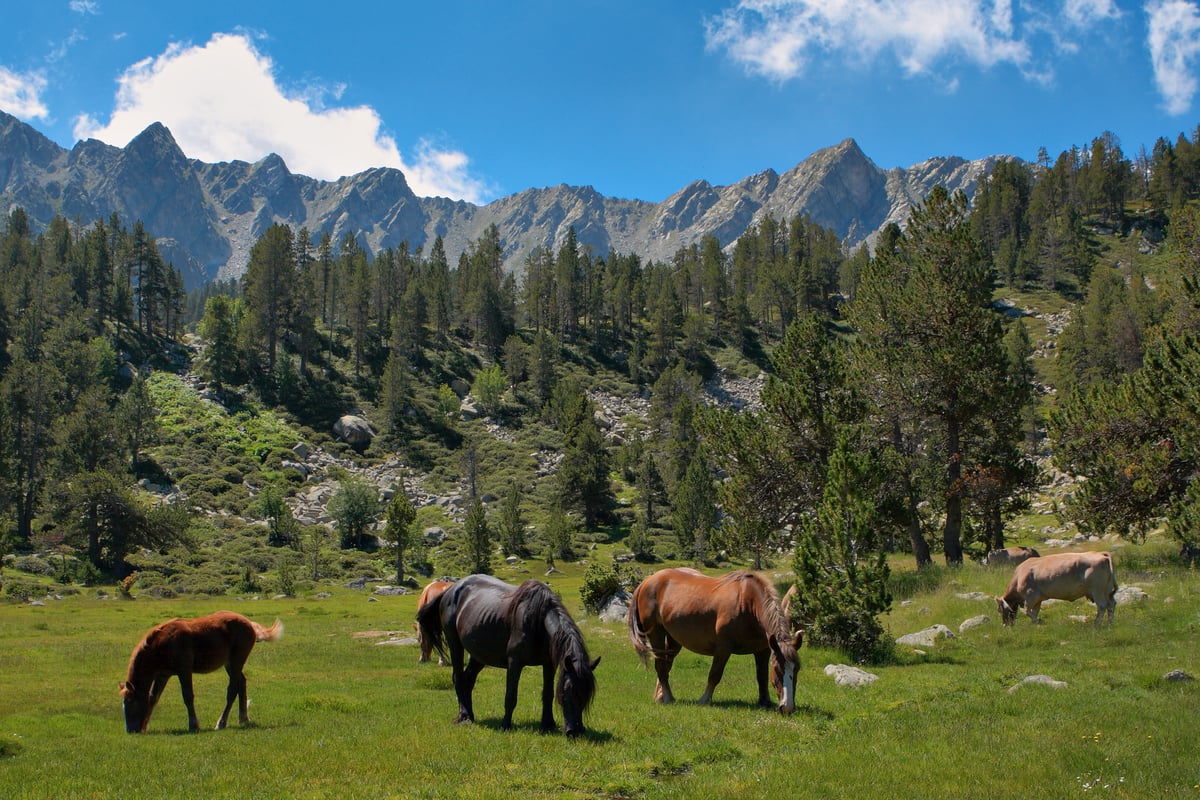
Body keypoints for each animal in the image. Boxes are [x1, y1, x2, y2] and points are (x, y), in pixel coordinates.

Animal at [119, 609, 283, 734]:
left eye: (130, 702)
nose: (131, 730)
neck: (163, 643)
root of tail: (249, 623)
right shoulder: (163, 675)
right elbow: (154, 698)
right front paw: (146, 725)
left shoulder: (184, 670)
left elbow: (187, 696)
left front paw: (193, 725)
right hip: (230, 664)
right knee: (241, 683)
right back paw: (243, 718)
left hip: (237, 661)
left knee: (232, 689)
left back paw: (221, 723)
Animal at [417, 575, 600, 738]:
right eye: (568, 691)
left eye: (587, 694)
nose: (576, 731)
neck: (538, 622)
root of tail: (450, 590)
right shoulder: (515, 663)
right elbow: (511, 696)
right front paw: (505, 725)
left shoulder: (549, 665)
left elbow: (547, 694)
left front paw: (547, 725)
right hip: (455, 644)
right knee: (458, 678)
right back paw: (463, 716)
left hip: (479, 654)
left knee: (468, 680)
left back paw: (470, 715)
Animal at [624, 568, 801, 714]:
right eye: (778, 669)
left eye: (797, 669)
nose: (787, 707)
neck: (747, 602)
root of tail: (647, 581)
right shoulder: (723, 647)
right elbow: (715, 674)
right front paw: (704, 700)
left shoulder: (763, 650)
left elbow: (762, 676)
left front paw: (765, 702)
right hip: (656, 634)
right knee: (661, 666)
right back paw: (667, 698)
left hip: (673, 640)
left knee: (666, 665)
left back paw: (660, 696)